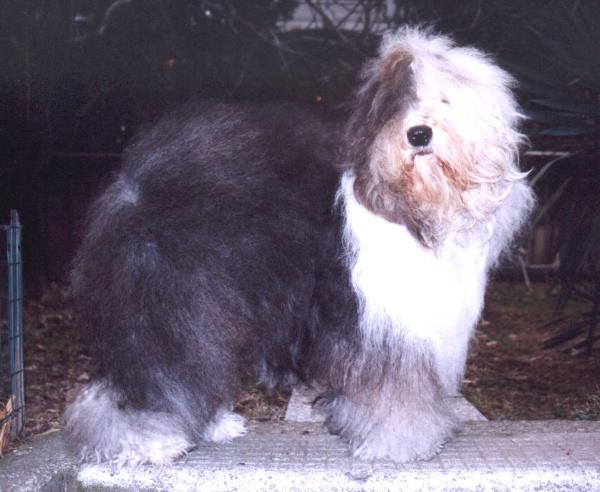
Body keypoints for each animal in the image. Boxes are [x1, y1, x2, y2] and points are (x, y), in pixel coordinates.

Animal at [67, 27, 536, 466]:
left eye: (444, 99)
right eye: (392, 109)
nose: (418, 134)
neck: (412, 209)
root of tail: (135, 183)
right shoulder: (382, 325)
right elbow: (394, 393)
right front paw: (399, 443)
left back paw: (216, 425)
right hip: (169, 304)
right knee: (153, 376)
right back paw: (149, 443)